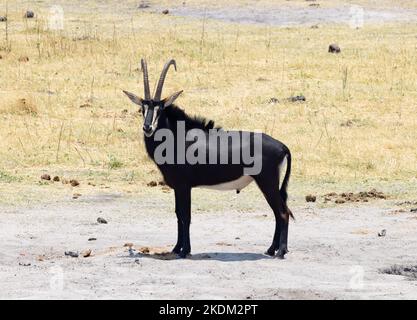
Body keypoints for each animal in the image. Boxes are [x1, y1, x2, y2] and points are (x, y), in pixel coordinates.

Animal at [122, 58, 292, 258]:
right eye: (142, 108)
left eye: (160, 109)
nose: (147, 127)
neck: (177, 137)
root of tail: (282, 146)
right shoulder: (178, 187)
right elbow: (178, 215)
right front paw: (176, 248)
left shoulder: (184, 186)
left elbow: (185, 216)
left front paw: (184, 251)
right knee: (279, 213)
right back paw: (271, 249)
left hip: (267, 182)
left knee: (282, 213)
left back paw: (280, 251)